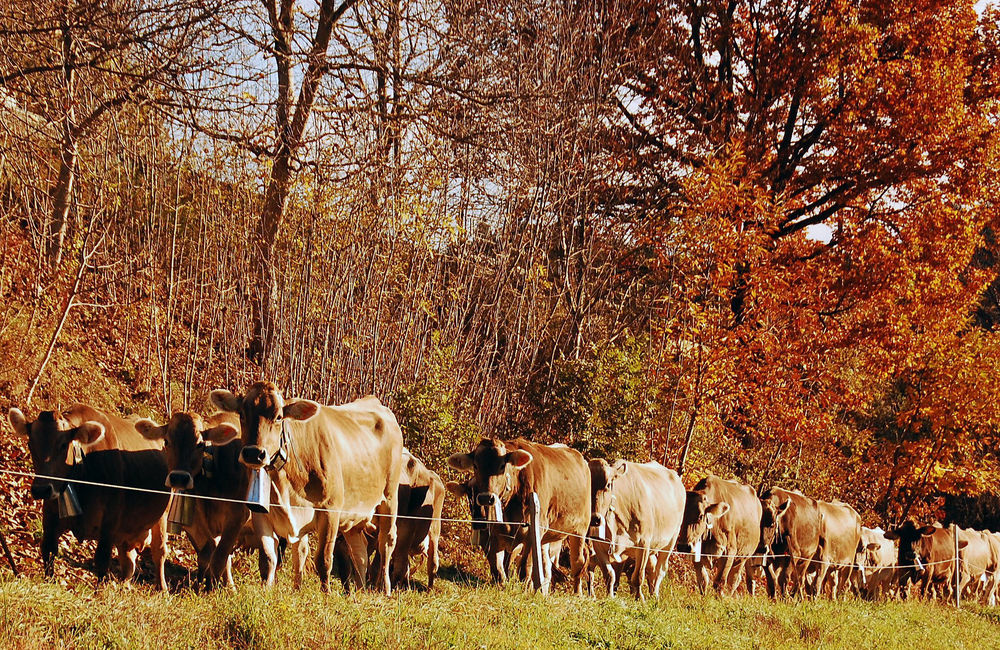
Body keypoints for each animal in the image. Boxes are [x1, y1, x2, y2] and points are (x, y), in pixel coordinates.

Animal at [136, 410, 249, 588]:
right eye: (166, 441)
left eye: (200, 444)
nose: (179, 478)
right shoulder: (195, 522)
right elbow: (206, 554)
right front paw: (200, 584)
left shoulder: (237, 515)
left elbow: (219, 557)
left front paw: (213, 589)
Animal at [211, 380, 402, 592]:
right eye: (242, 414)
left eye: (278, 417)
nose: (253, 453)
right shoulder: (263, 514)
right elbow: (271, 558)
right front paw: (273, 591)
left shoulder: (330, 510)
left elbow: (324, 560)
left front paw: (326, 594)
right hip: (355, 516)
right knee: (359, 552)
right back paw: (358, 592)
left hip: (389, 499)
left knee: (386, 543)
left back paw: (385, 589)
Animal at [450, 436, 588, 592]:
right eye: (475, 465)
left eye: (502, 466)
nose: (486, 498)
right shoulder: (493, 535)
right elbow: (498, 568)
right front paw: (503, 586)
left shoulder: (532, 531)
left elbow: (524, 569)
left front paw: (525, 591)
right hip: (549, 537)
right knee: (546, 566)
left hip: (580, 529)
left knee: (577, 563)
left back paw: (577, 593)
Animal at [588, 458, 684, 600]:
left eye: (608, 485)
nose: (595, 519)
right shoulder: (598, 544)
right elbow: (609, 575)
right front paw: (610, 596)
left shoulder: (643, 543)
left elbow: (638, 575)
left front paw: (640, 598)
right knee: (652, 567)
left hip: (671, 540)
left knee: (660, 569)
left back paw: (655, 595)